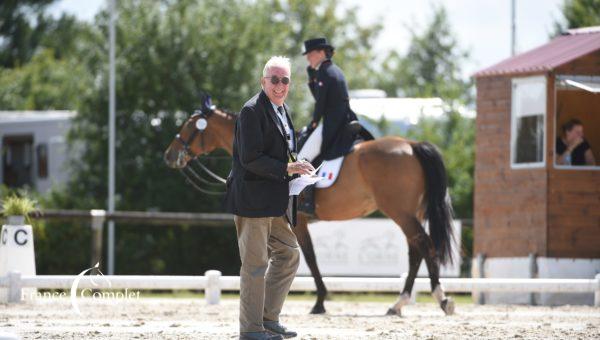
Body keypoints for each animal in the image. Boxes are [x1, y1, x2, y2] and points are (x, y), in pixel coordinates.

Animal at [163, 103, 454, 316]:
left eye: (190, 125)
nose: (169, 155)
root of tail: (411, 145)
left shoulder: (298, 221)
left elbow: (310, 258)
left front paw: (319, 302)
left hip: (400, 212)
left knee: (425, 245)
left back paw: (441, 299)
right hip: (410, 213)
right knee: (416, 251)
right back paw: (398, 304)